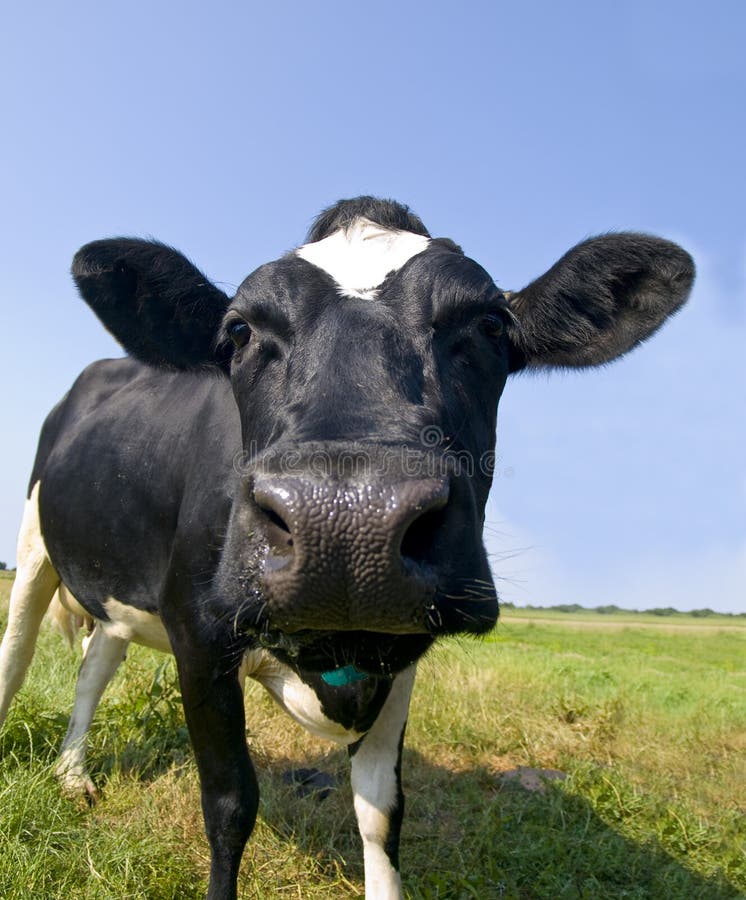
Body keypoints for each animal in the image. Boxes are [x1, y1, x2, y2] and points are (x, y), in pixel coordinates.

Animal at [0, 197, 692, 900]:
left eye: (491, 324)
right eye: (239, 332)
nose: (348, 521)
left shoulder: (401, 656)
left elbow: (381, 809)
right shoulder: (199, 631)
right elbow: (229, 804)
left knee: (94, 664)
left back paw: (72, 775)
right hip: (32, 549)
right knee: (17, 655)